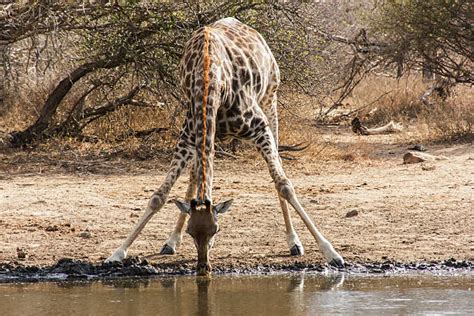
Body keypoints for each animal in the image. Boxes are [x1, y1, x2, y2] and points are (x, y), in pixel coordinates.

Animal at [106, 16, 344, 274]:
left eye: (216, 230)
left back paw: (294, 242)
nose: (203, 267)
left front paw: (331, 252)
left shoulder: (259, 128)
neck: (209, 80)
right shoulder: (188, 136)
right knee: (195, 177)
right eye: (191, 231)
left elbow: (284, 185)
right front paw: (118, 252)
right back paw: (171, 241)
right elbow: (159, 196)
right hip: (207, 137)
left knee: (278, 165)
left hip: (270, 100)